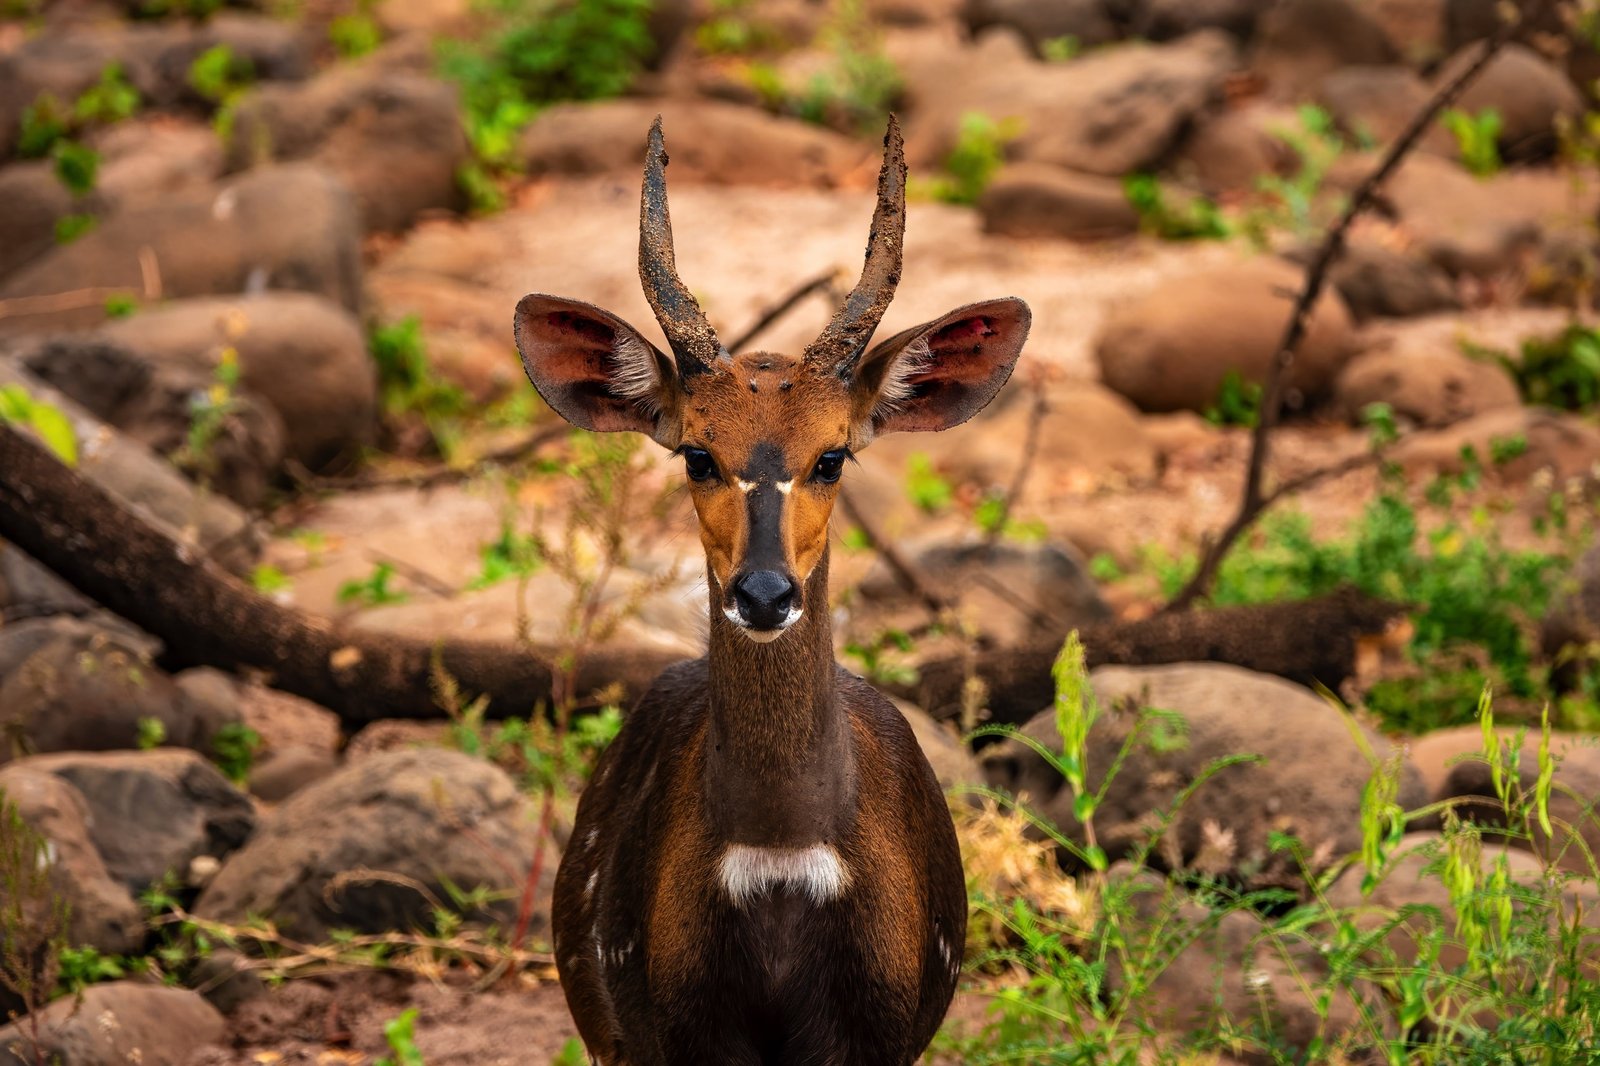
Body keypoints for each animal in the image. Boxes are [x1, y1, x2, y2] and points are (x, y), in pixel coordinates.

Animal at [518, 116, 1030, 1062]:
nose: (763, 594)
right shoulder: (677, 1036)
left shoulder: (875, 1038)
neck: (781, 859)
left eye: (832, 456)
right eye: (697, 453)